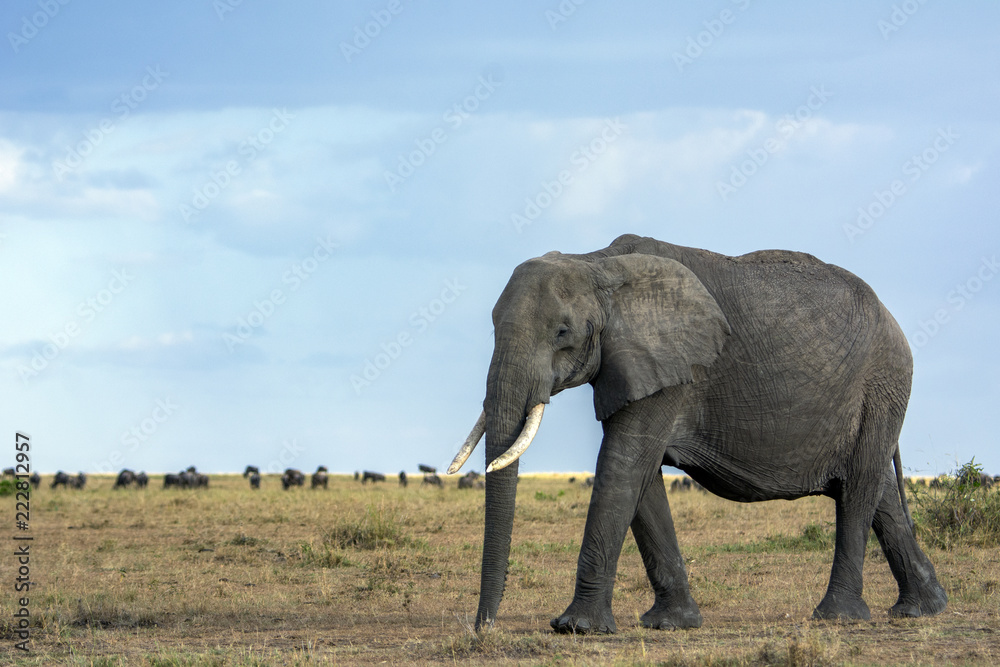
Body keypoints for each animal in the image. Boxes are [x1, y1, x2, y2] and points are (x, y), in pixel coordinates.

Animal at [448, 234, 947, 634]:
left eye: (562, 332)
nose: (484, 628)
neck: (597, 263)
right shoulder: (634, 367)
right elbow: (641, 480)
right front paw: (671, 624)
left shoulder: (673, 369)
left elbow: (622, 465)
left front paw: (576, 628)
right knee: (878, 490)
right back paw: (922, 610)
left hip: (881, 384)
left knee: (859, 487)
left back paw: (838, 617)